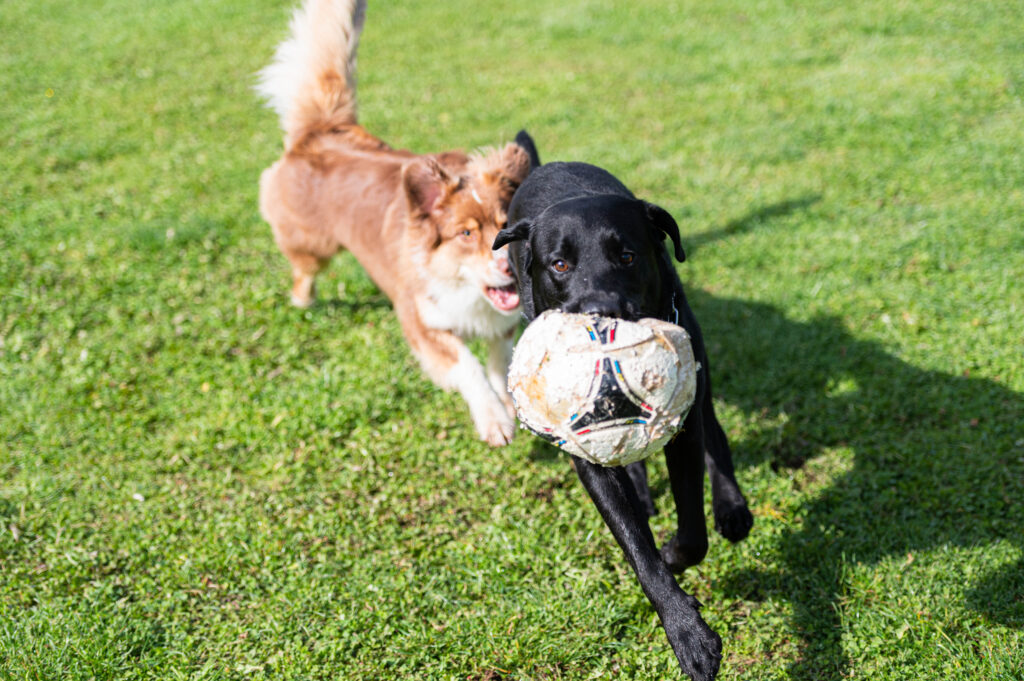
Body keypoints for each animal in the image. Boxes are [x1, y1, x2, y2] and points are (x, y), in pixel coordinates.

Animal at [258, 0, 536, 446]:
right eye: (466, 233)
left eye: (506, 226)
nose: (508, 268)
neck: (466, 292)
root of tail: (321, 131)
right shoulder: (421, 322)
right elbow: (468, 366)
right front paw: (495, 420)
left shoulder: (503, 324)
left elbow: (499, 359)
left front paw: (510, 403)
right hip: (312, 246)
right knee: (303, 271)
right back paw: (303, 302)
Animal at [493, 134, 753, 679]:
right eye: (560, 264)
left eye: (628, 256)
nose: (601, 313)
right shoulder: (584, 452)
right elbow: (636, 543)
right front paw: (686, 630)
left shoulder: (682, 424)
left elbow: (691, 532)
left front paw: (677, 556)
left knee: (716, 434)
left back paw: (731, 508)